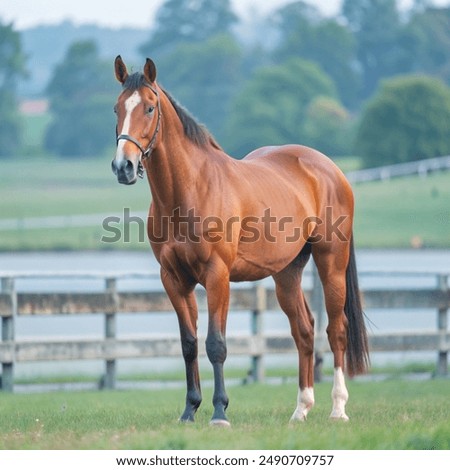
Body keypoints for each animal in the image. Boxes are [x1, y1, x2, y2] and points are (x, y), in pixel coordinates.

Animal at [112, 56, 370, 426]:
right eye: (116, 108)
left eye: (149, 107)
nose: (124, 167)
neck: (191, 189)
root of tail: (330, 169)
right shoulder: (174, 279)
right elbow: (189, 344)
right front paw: (189, 410)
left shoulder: (217, 276)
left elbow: (215, 344)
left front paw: (220, 412)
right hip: (287, 273)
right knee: (303, 331)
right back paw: (300, 409)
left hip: (331, 262)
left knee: (336, 329)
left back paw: (338, 408)